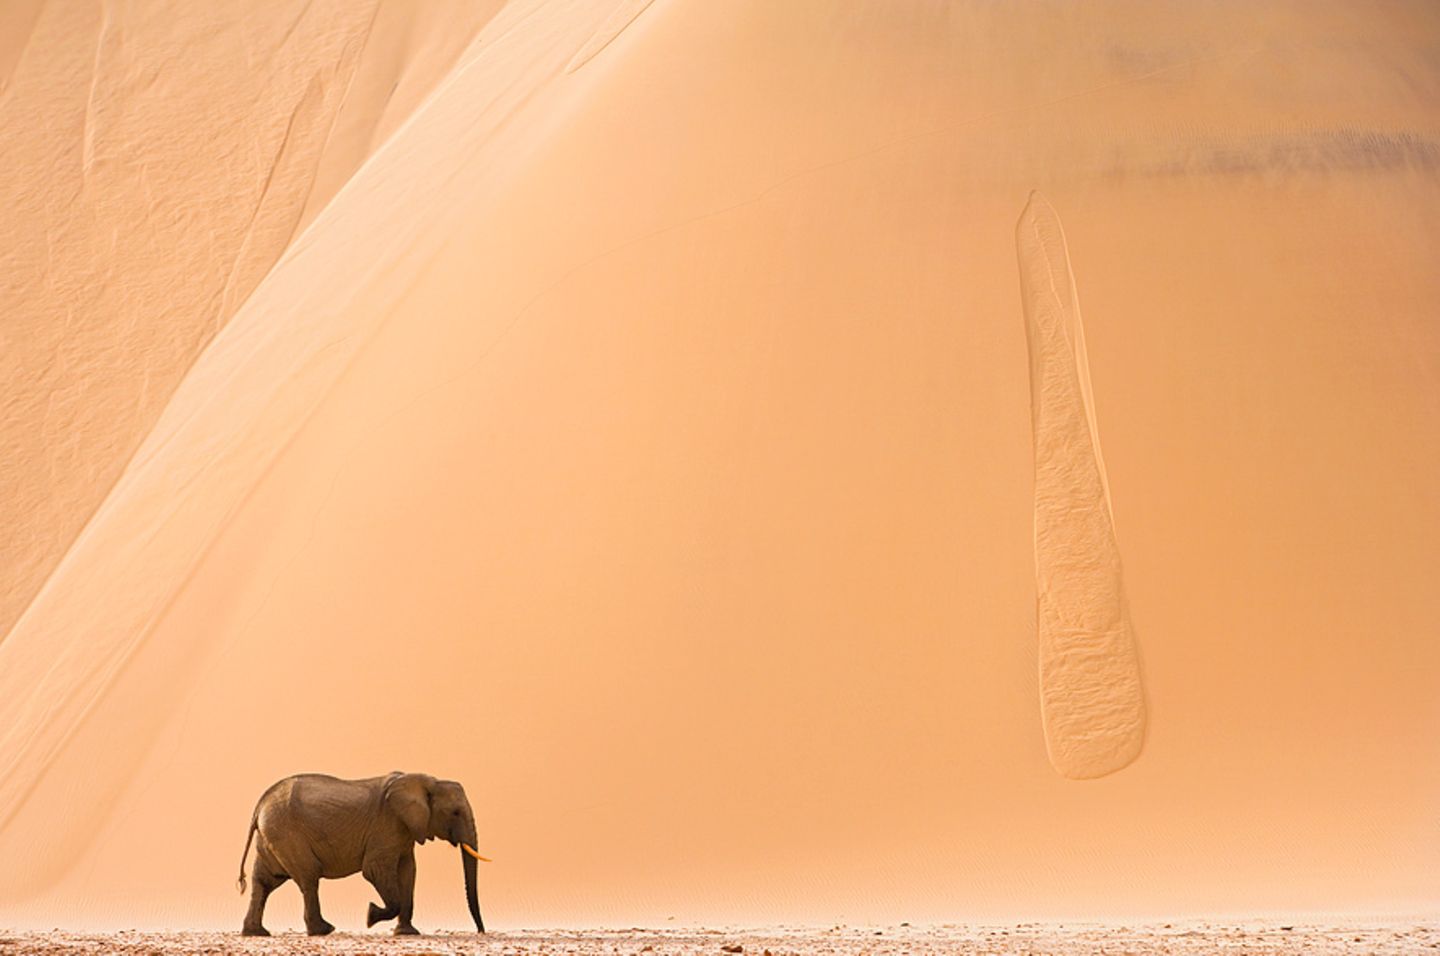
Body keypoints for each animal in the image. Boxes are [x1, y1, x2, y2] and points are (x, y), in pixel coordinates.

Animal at [233, 771, 486, 938]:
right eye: (455, 813)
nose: (481, 932)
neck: (426, 781)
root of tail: (261, 803)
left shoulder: (405, 831)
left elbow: (408, 871)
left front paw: (407, 933)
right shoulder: (387, 825)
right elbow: (374, 871)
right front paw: (370, 916)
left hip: (272, 835)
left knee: (265, 882)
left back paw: (256, 933)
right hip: (287, 832)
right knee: (308, 878)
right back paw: (323, 931)